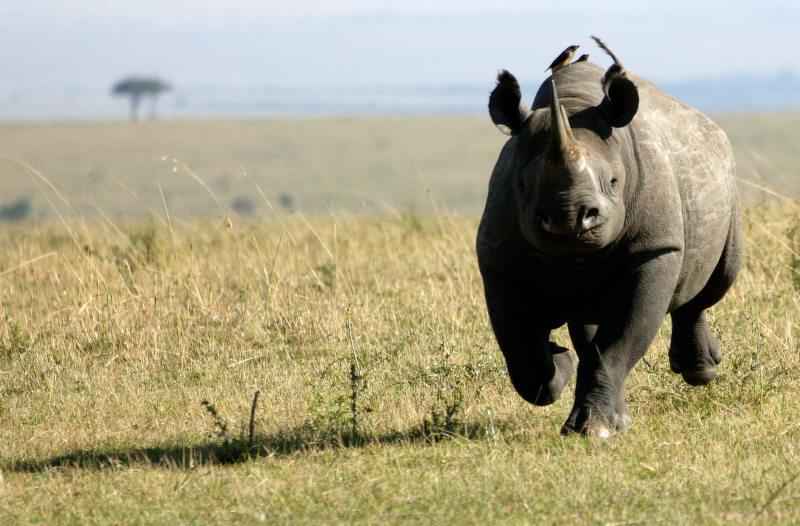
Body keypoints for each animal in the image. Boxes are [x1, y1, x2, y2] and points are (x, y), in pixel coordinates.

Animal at [477, 37, 742, 437]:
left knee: (715, 281)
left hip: (724, 173)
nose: (568, 219)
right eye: (521, 187)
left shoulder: (654, 250)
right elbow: (526, 358)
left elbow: (617, 345)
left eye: (615, 182)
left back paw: (700, 372)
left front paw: (593, 431)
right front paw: (562, 363)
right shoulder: (499, 261)